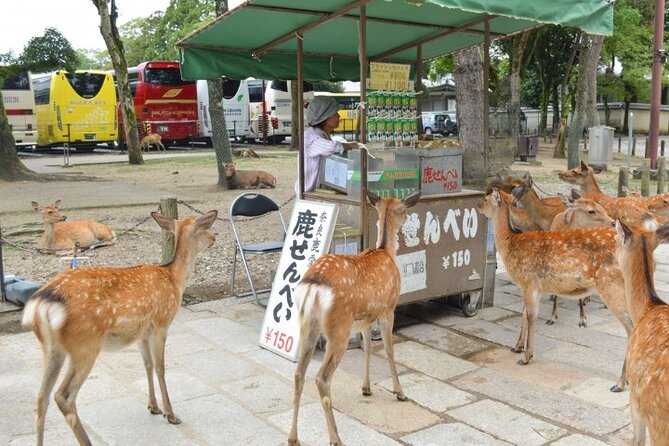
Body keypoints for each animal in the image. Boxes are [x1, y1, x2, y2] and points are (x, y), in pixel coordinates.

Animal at [21, 210, 217, 446]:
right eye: (205, 227)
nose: (214, 238)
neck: (174, 279)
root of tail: (41, 304)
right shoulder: (161, 324)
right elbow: (161, 368)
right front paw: (170, 414)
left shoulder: (142, 333)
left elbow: (147, 365)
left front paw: (153, 406)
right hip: (85, 344)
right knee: (63, 396)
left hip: (51, 348)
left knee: (41, 398)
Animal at [288, 189, 422, 446]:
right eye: (404, 210)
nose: (409, 218)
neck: (386, 251)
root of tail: (313, 287)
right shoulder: (388, 308)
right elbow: (389, 350)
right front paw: (400, 392)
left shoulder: (366, 318)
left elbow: (368, 348)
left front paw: (366, 388)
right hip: (338, 328)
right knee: (321, 378)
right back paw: (336, 439)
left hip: (306, 325)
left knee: (299, 374)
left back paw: (293, 438)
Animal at [474, 190, 632, 392]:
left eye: (486, 199)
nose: (478, 204)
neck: (510, 244)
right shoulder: (533, 287)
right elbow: (524, 313)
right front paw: (517, 346)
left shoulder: (528, 282)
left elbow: (531, 317)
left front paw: (526, 356)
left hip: (612, 288)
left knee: (631, 327)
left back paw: (619, 383)